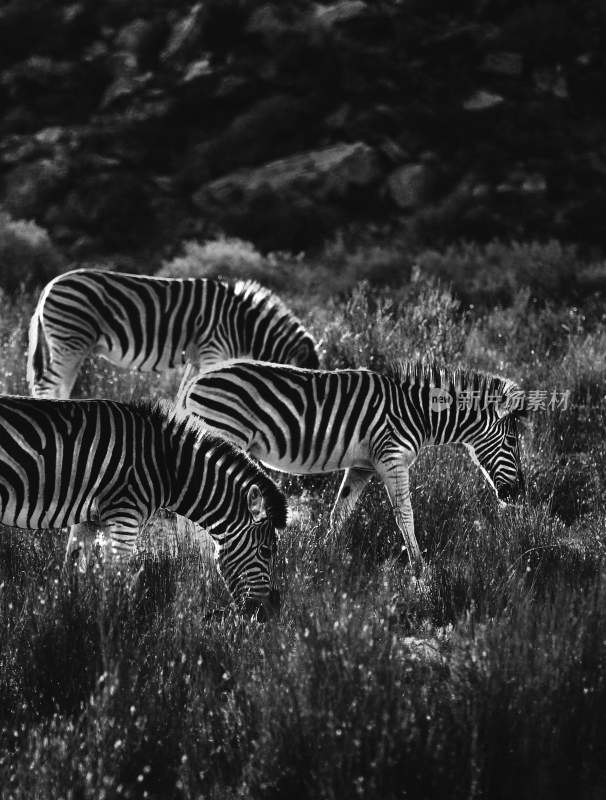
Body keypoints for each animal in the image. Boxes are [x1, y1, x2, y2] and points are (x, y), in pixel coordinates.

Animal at [0, 396, 288, 616]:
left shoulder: (91, 519)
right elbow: (114, 579)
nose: (267, 613)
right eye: (266, 551)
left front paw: (73, 619)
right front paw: (112, 634)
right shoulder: (125, 515)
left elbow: (74, 571)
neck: (167, 467)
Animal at [27, 268, 324, 400]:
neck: (243, 323)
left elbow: (187, 391)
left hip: (74, 346)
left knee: (61, 386)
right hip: (70, 340)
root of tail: (48, 287)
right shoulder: (213, 349)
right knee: (46, 385)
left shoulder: (197, 357)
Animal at [178, 360, 524, 564]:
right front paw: (421, 569)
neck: (417, 414)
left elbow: (339, 514)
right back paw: (196, 560)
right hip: (224, 433)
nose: (518, 494)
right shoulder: (392, 458)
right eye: (512, 442)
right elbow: (405, 516)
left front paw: (324, 559)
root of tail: (195, 380)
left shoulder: (362, 467)